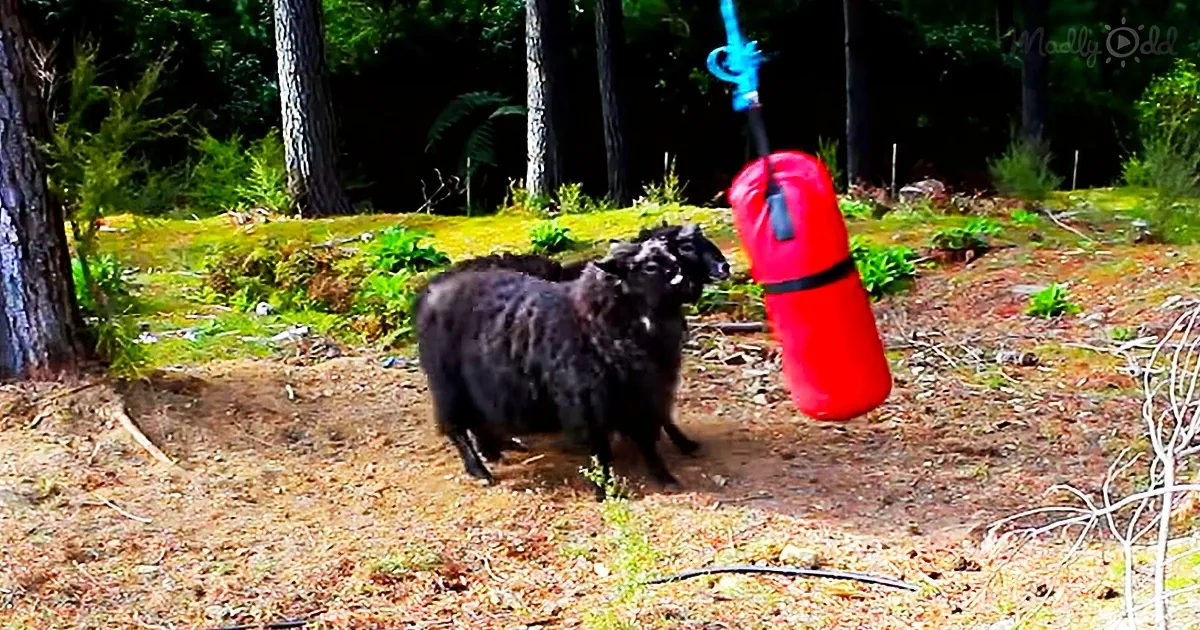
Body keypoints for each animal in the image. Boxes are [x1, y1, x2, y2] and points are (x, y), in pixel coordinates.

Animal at [412, 237, 691, 499]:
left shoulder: (641, 396)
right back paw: (480, 470)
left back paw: (495, 452)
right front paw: (603, 488)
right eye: (649, 267)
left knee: (477, 422)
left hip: (474, 385)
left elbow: (647, 441)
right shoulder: (587, 403)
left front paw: (666, 477)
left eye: (671, 256)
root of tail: (430, 289)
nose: (684, 280)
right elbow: (600, 449)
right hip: (448, 384)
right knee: (457, 428)